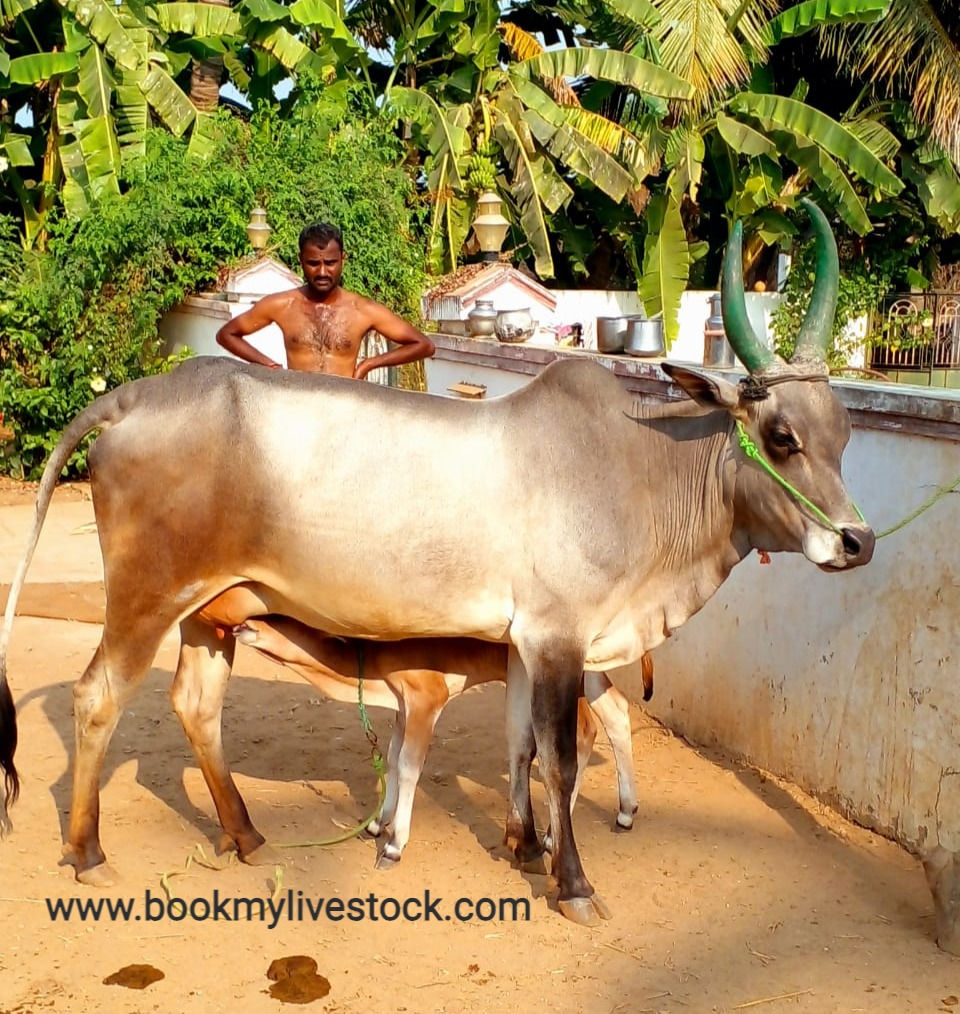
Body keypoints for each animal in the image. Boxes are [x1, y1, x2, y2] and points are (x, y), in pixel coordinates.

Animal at [0, 201, 874, 925]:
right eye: (781, 436)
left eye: (843, 434)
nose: (857, 542)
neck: (638, 466)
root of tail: (135, 397)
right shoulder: (558, 639)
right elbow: (561, 761)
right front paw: (573, 882)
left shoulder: (524, 645)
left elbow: (522, 747)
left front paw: (524, 845)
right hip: (145, 597)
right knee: (97, 698)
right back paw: (88, 853)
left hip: (214, 610)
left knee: (195, 706)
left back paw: (244, 835)